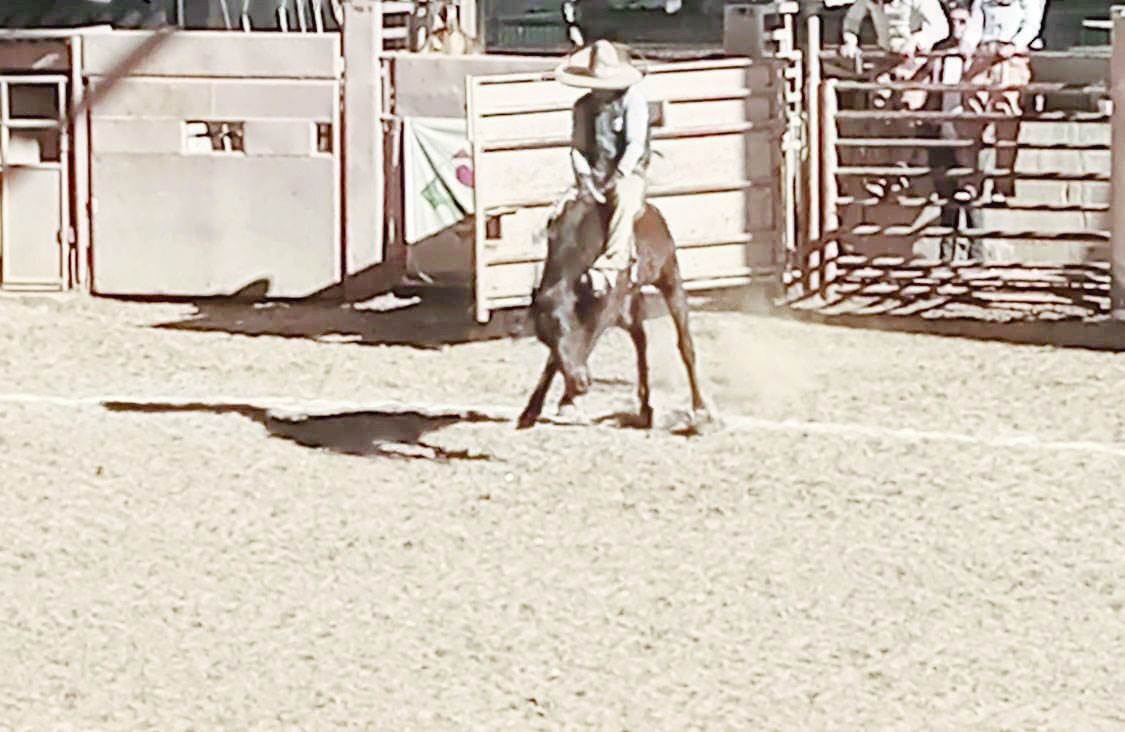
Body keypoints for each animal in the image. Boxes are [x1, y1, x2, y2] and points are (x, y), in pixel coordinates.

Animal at [515, 192, 711, 431]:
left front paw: (566, 400)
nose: (580, 384)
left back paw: (699, 410)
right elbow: (555, 359)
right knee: (641, 340)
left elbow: (585, 343)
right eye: (543, 339)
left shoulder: (605, 308)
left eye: (568, 326)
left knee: (685, 344)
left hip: (670, 279)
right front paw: (533, 410)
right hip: (631, 305)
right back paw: (645, 409)